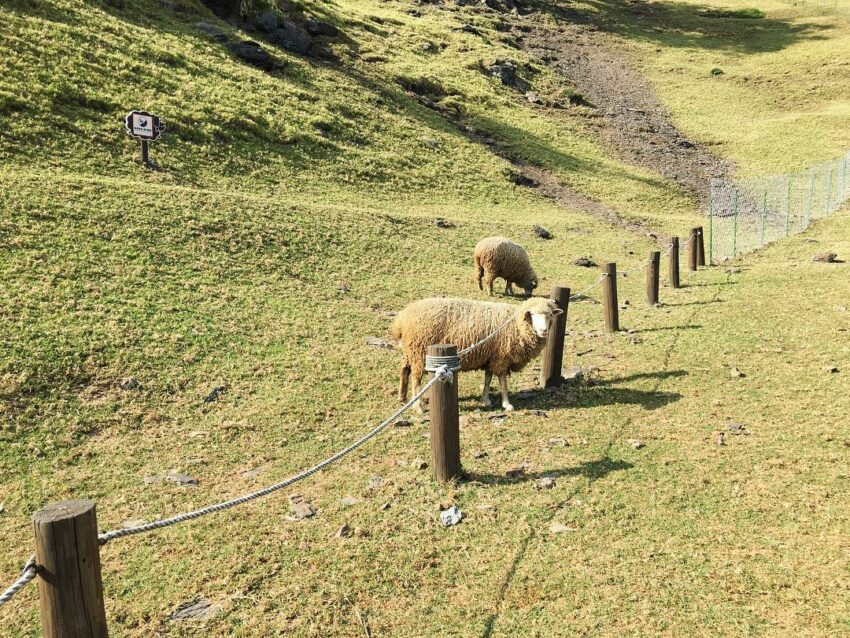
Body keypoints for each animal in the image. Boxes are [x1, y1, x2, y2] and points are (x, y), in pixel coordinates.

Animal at [390, 298, 564, 412]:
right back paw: (418, 406)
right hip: (419, 352)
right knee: (416, 378)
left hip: (410, 351)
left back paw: (402, 398)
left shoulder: (491, 356)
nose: (543, 331)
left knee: (404, 370)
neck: (515, 324)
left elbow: (488, 378)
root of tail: (402, 318)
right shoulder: (501, 357)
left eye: (550, 315)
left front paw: (486, 399)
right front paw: (507, 404)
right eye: (532, 315)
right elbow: (502, 381)